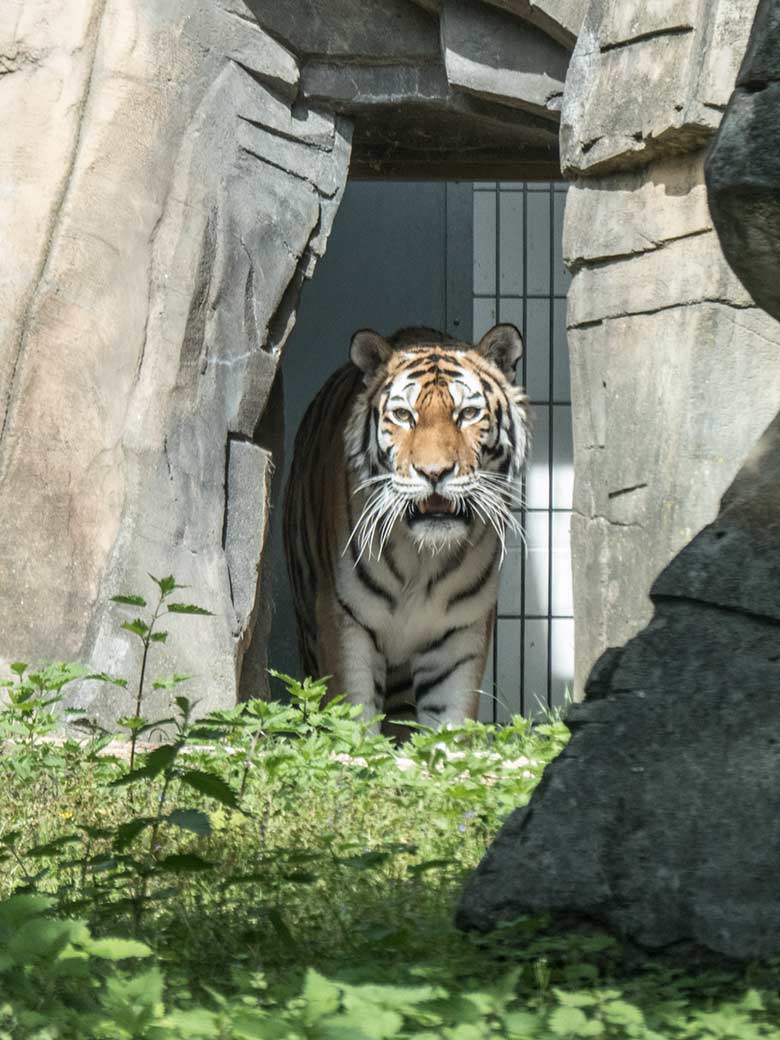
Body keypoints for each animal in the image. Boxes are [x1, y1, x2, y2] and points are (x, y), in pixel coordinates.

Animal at [284, 324, 536, 740]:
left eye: (468, 414)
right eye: (404, 415)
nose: (434, 473)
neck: (422, 558)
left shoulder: (458, 634)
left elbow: (448, 725)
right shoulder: (344, 621)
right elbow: (354, 718)